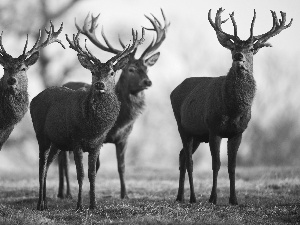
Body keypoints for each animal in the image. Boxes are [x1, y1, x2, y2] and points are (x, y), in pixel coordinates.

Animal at [29, 18, 144, 211]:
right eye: (93, 72)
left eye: (112, 72)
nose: (100, 85)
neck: (93, 127)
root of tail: (33, 99)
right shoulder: (76, 141)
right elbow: (80, 174)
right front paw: (79, 205)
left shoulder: (97, 144)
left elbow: (92, 174)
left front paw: (93, 204)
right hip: (41, 134)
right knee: (41, 166)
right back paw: (40, 204)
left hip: (57, 141)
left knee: (49, 164)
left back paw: (45, 201)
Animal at [55, 9, 170, 199]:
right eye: (131, 69)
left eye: (147, 68)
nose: (148, 82)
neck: (120, 122)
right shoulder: (98, 138)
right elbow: (96, 166)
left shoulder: (124, 138)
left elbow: (121, 166)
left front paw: (125, 194)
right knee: (62, 160)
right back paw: (66, 193)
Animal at [170, 7, 292, 206]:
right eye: (233, 48)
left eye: (251, 48)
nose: (238, 56)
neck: (233, 109)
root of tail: (174, 90)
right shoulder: (213, 129)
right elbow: (216, 165)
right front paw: (213, 198)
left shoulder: (238, 132)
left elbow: (233, 166)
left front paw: (234, 199)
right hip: (183, 127)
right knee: (189, 161)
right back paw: (192, 197)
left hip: (197, 134)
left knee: (181, 156)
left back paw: (180, 196)